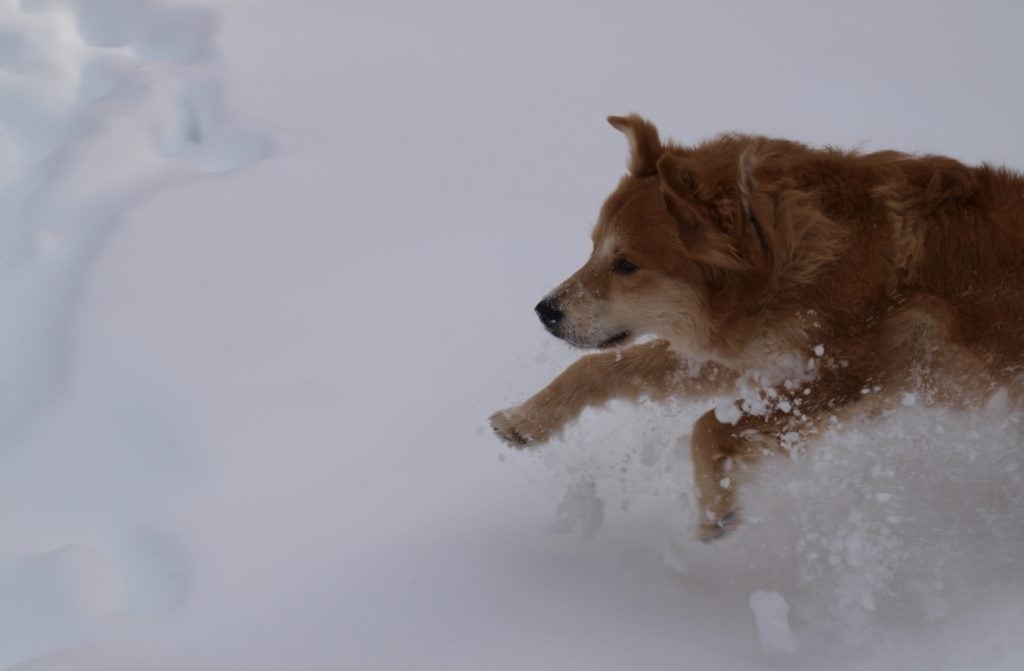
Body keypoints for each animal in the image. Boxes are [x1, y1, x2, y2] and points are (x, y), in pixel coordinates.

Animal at [489, 115, 1024, 544]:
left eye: (626, 264)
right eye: (594, 247)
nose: (544, 311)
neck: (795, 261)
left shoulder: (856, 375)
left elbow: (709, 425)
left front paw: (716, 508)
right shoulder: (757, 355)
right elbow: (599, 367)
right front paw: (527, 419)